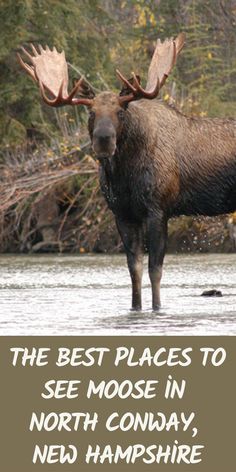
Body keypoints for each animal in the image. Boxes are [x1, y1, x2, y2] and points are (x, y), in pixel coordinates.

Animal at [18, 35, 236, 312]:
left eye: (120, 112)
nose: (103, 140)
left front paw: (157, 308)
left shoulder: (158, 209)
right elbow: (135, 270)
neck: (125, 177)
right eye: (91, 112)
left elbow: (155, 270)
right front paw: (135, 308)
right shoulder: (122, 214)